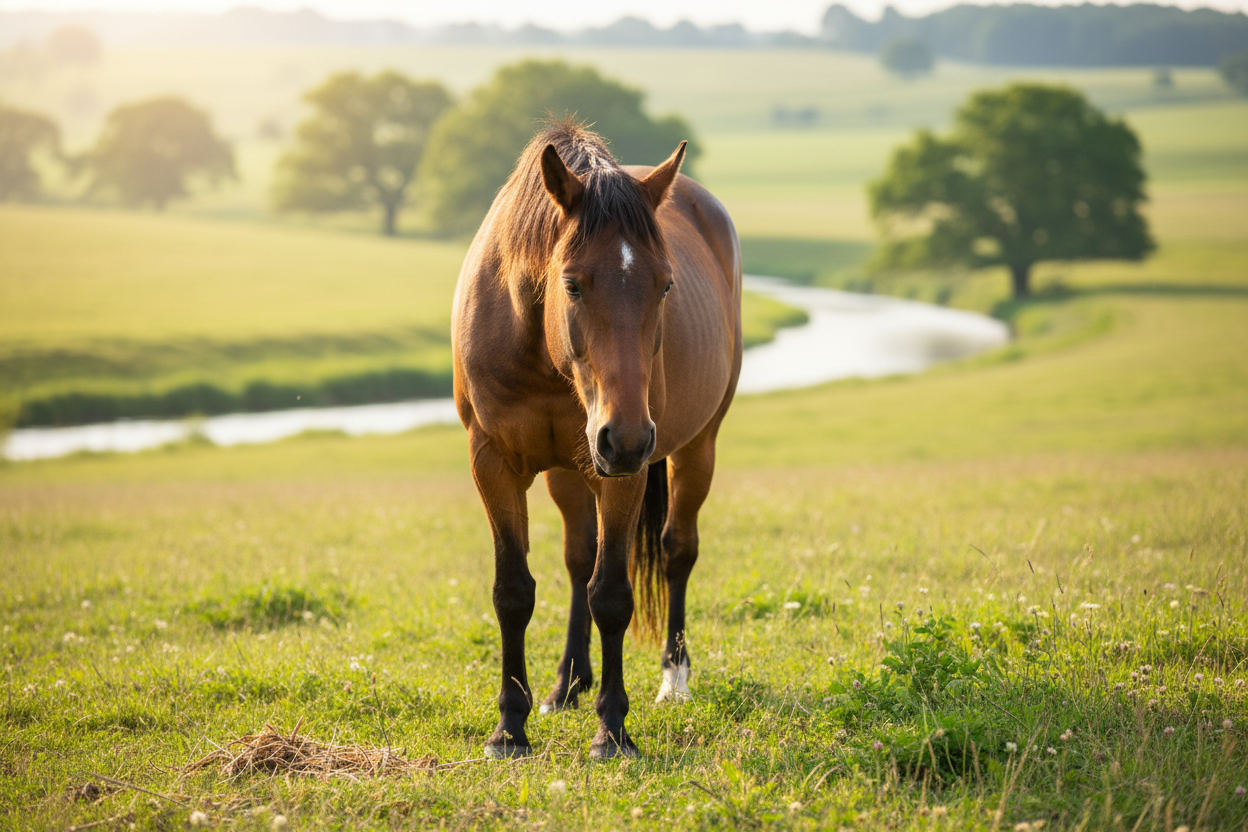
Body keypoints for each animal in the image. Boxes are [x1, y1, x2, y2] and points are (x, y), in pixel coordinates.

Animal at [451, 121, 742, 760]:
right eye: (573, 285)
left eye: (665, 285)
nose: (627, 436)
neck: (539, 351)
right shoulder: (492, 463)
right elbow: (514, 591)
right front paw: (510, 728)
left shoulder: (623, 472)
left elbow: (611, 593)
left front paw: (613, 731)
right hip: (574, 468)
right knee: (578, 557)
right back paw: (568, 684)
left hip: (695, 447)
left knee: (676, 549)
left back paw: (673, 679)